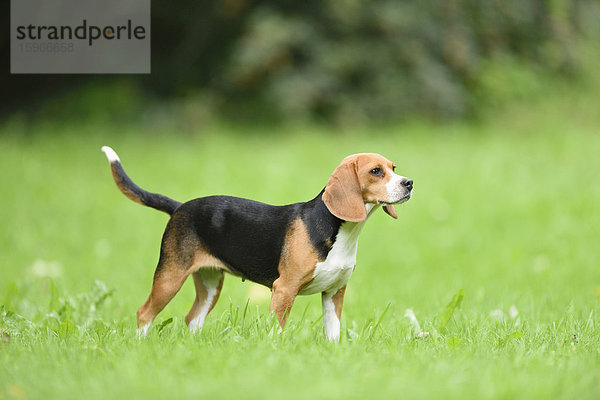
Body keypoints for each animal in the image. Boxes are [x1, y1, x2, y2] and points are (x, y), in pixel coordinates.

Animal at [102, 147, 412, 340]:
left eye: (393, 168)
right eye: (376, 171)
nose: (409, 182)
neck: (340, 231)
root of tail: (180, 207)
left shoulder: (334, 292)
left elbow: (333, 332)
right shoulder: (284, 289)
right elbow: (277, 328)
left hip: (210, 284)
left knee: (193, 318)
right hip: (170, 276)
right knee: (144, 313)